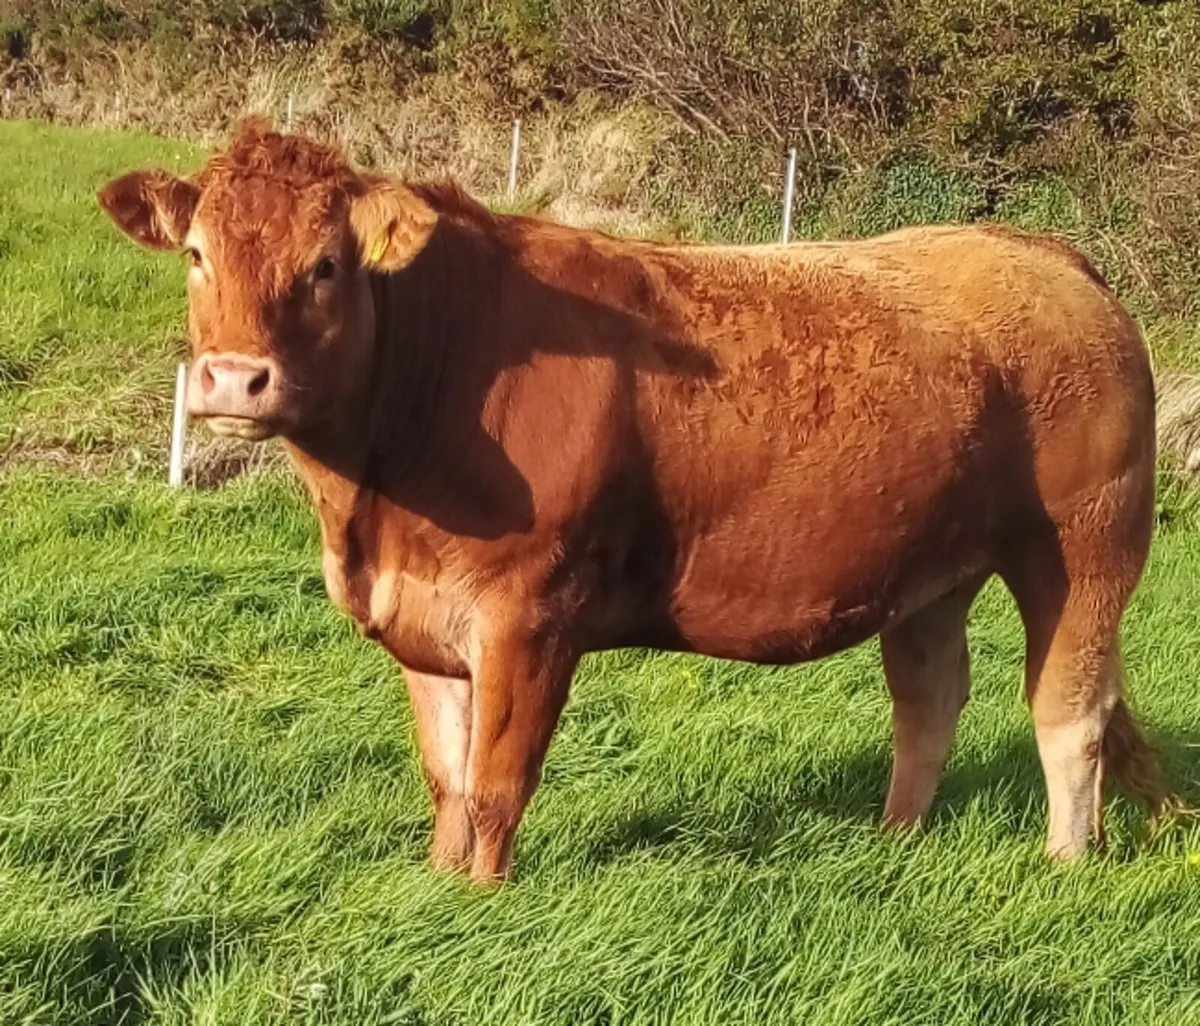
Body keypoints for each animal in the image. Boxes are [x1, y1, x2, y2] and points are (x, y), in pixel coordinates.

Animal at [98, 119, 1172, 883]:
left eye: (325, 265)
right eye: (196, 254)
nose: (233, 380)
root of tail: (1045, 252)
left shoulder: (529, 615)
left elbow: (495, 784)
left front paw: (481, 901)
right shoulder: (423, 616)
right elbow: (446, 779)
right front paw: (437, 887)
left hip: (1085, 546)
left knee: (1069, 709)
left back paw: (1063, 863)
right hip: (933, 566)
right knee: (930, 698)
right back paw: (896, 838)